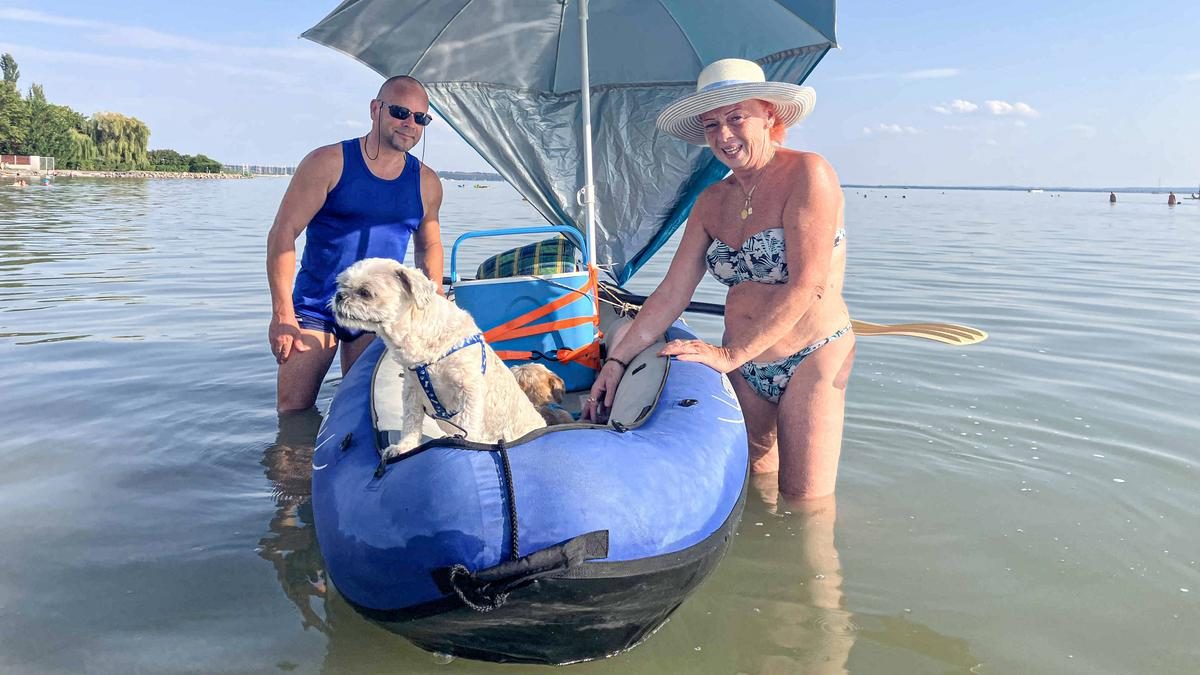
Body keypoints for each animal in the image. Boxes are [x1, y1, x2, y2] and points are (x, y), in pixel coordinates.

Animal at [333, 257, 549, 456]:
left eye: (365, 292)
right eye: (342, 284)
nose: (339, 296)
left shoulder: (469, 389)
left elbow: (468, 422)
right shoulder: (411, 389)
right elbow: (411, 421)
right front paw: (404, 447)